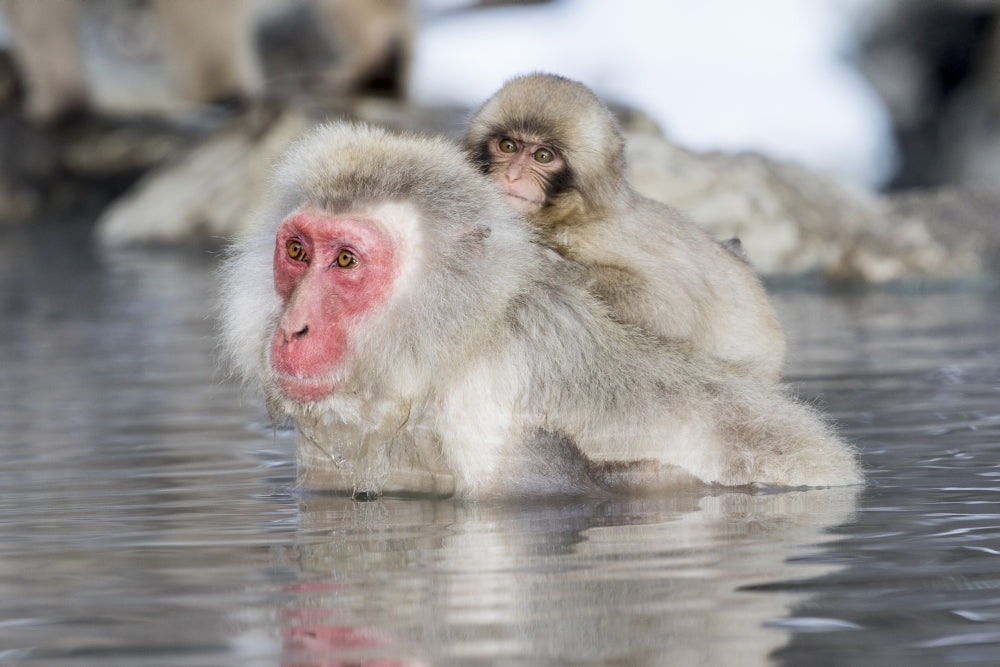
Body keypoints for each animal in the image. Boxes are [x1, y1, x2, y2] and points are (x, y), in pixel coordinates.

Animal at [463, 73, 787, 381]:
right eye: (508, 146)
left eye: (543, 156)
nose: (513, 175)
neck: (570, 217)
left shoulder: (602, 235)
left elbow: (670, 312)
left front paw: (552, 266)